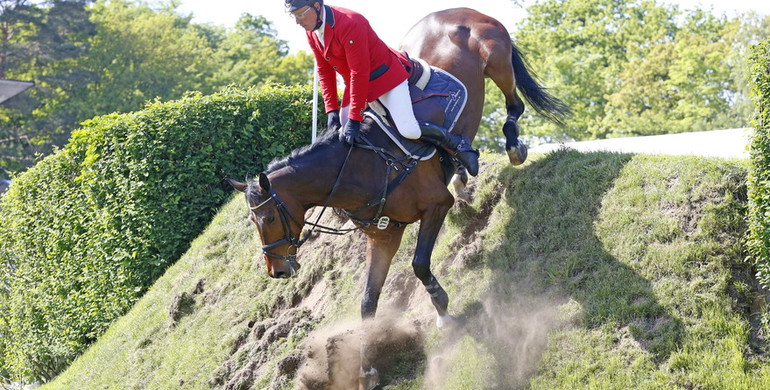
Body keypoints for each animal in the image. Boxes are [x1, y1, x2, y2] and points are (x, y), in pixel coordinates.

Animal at [225, 6, 568, 390]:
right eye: (255, 221)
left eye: (269, 218)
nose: (277, 271)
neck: (362, 166)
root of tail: (459, 11)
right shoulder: (383, 235)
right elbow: (367, 302)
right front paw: (367, 370)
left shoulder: (435, 206)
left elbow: (419, 264)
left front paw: (443, 312)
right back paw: (463, 174)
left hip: (497, 60)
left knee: (513, 102)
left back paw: (508, 146)